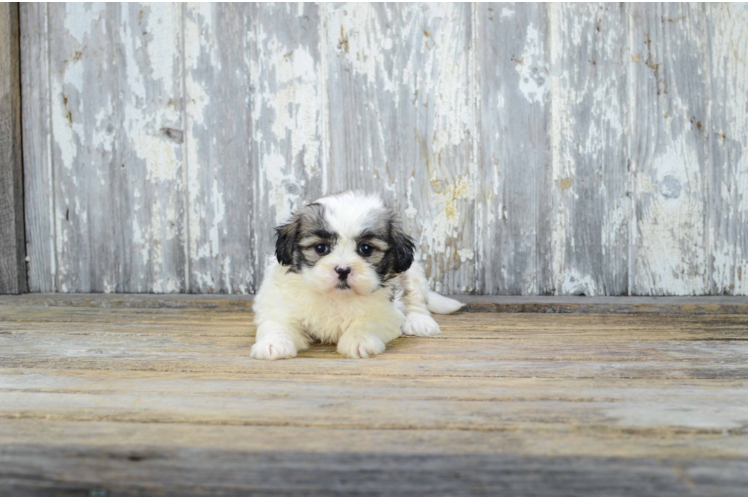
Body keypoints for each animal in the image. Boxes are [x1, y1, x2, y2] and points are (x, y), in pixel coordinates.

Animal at [250, 191, 462, 360]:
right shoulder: (279, 305)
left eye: (365, 249)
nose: (343, 269)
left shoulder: (385, 312)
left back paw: (419, 322)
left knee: (417, 301)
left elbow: (367, 323)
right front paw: (272, 344)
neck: (336, 298)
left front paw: (359, 340)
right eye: (321, 248)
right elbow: (276, 324)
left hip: (413, 272)